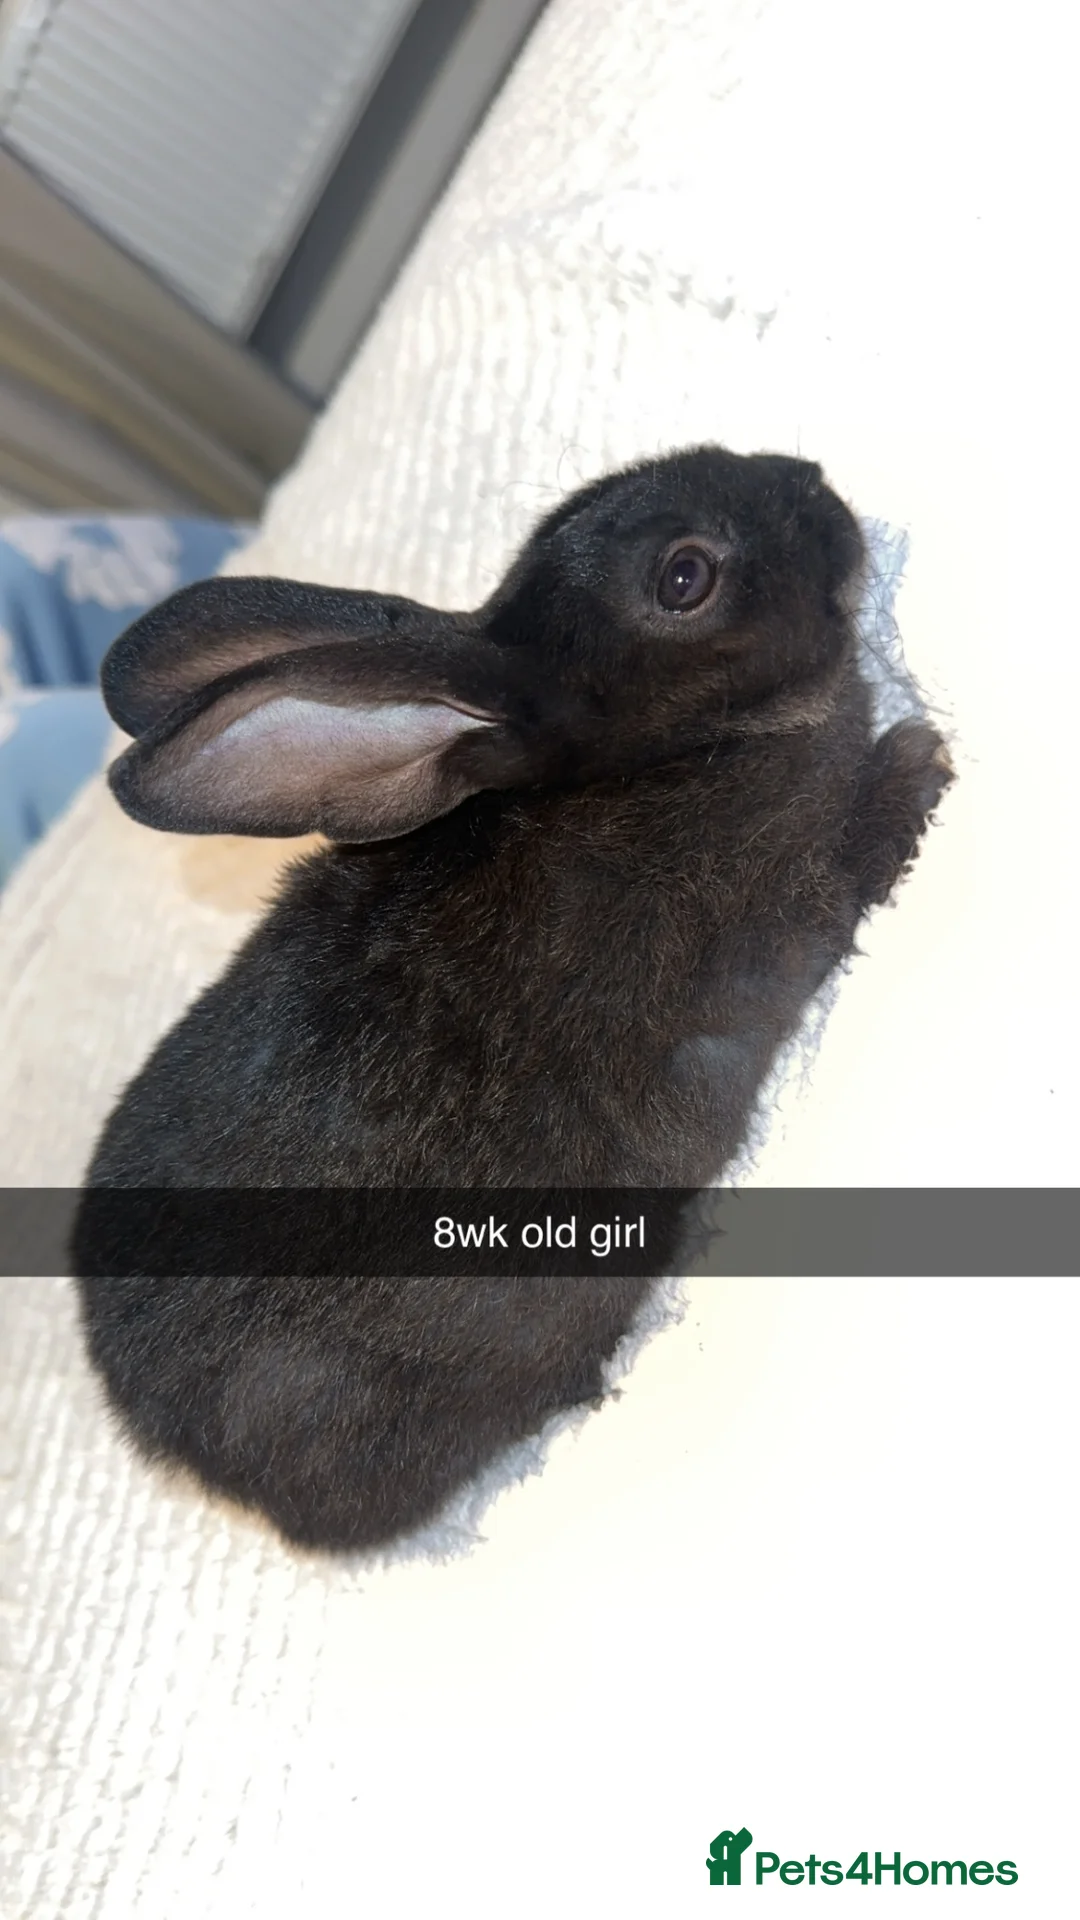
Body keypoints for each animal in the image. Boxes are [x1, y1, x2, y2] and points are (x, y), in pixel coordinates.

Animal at [73, 444, 953, 1553]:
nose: (813, 482)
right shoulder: (780, 911)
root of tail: (200, 1468)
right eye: (684, 577)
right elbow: (853, 865)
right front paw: (918, 763)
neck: (665, 754)